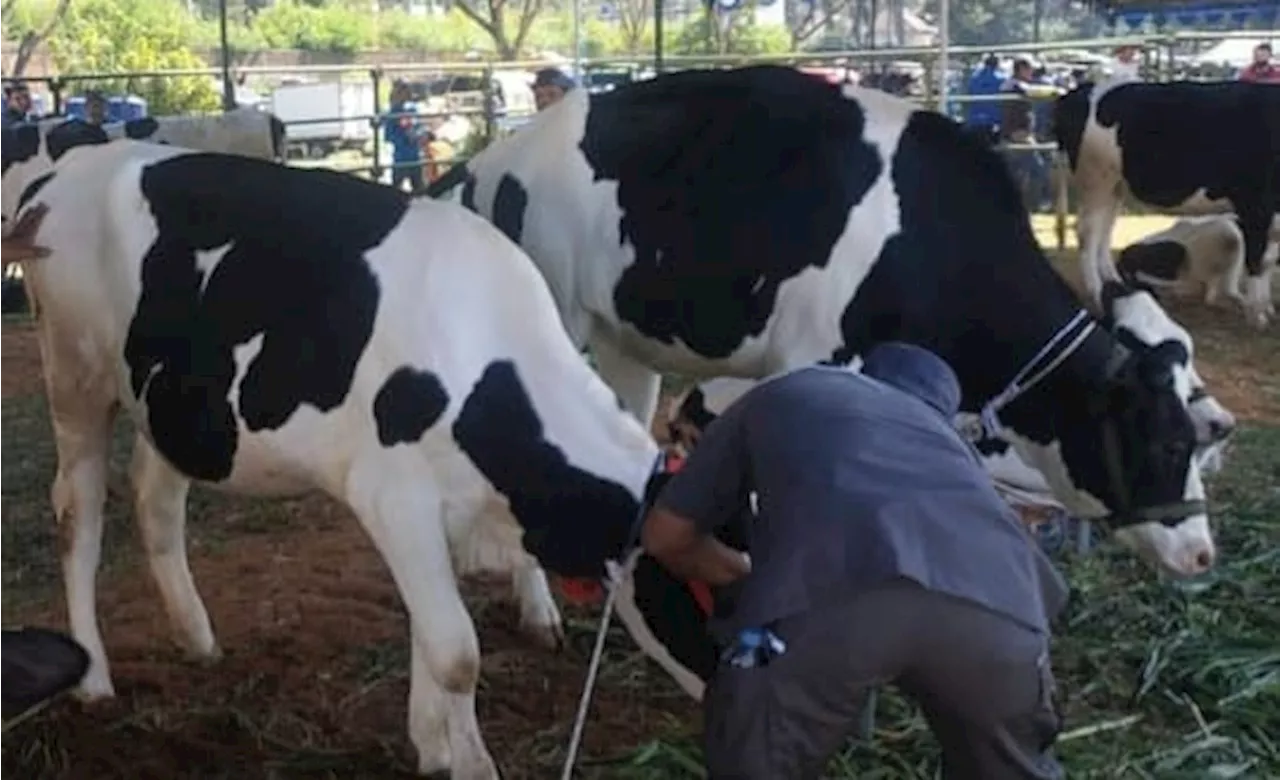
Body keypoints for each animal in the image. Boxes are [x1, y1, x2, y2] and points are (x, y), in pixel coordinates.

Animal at [12, 124, 680, 773]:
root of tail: (70, 168)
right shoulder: (394, 499)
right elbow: (455, 651)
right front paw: (469, 762)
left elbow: (429, 629)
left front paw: (432, 747)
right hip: (76, 380)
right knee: (78, 517)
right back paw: (93, 679)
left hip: (173, 407)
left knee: (155, 497)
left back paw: (197, 638)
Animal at [432, 66, 1228, 581]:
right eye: (1165, 441)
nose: (1202, 552)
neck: (926, 232)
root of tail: (487, 161)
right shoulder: (806, 359)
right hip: (553, 319)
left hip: (621, 336)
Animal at [1054, 81, 1280, 327]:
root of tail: (1084, 89)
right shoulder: (1255, 206)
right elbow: (1257, 260)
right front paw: (1257, 316)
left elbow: (1269, 260)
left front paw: (1267, 309)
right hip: (1096, 180)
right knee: (1088, 235)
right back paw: (1096, 294)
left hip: (1115, 187)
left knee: (1104, 233)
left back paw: (1116, 287)